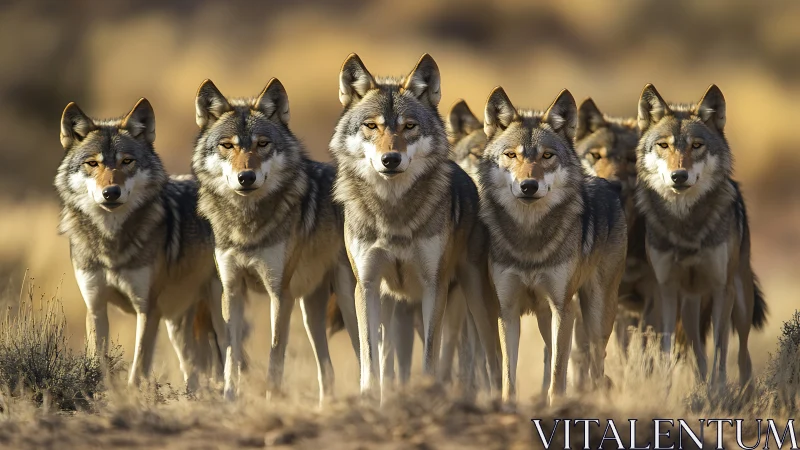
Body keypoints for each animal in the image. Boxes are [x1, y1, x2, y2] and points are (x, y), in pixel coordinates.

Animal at [55, 99, 226, 390]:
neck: (111, 243)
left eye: (127, 161)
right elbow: (97, 365)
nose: (111, 193)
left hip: (215, 312)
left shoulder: (148, 310)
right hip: (177, 324)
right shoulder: (95, 307)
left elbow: (138, 369)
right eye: (93, 163)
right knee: (192, 369)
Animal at [192, 78, 359, 403]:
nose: (246, 177)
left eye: (262, 143)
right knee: (327, 369)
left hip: (346, 300)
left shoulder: (279, 294)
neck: (247, 225)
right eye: (227, 145)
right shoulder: (232, 290)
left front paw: (270, 400)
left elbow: (274, 356)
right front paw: (229, 400)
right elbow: (231, 356)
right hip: (310, 311)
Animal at [329, 53, 500, 401]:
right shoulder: (367, 286)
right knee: (389, 360)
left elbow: (431, 356)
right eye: (372, 126)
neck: (393, 212)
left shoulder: (434, 287)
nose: (390, 159)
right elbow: (370, 359)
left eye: (409, 126)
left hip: (474, 300)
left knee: (492, 360)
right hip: (394, 305)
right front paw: (371, 402)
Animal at [478, 87, 627, 406]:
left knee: (597, 367)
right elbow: (509, 372)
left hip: (597, 315)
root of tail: (608, 183)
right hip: (546, 317)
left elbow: (559, 371)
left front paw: (556, 406)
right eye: (511, 155)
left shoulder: (563, 308)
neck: (530, 239)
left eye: (547, 155)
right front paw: (508, 407)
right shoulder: (507, 310)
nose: (529, 186)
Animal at [635, 84, 767, 386]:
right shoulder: (666, 289)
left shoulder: (722, 288)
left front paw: (719, 391)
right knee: (698, 355)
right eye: (664, 145)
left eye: (697, 145)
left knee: (743, 357)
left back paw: (741, 391)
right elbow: (667, 349)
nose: (679, 176)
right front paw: (666, 389)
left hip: (741, 302)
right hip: (689, 305)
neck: (687, 225)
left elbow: (720, 350)